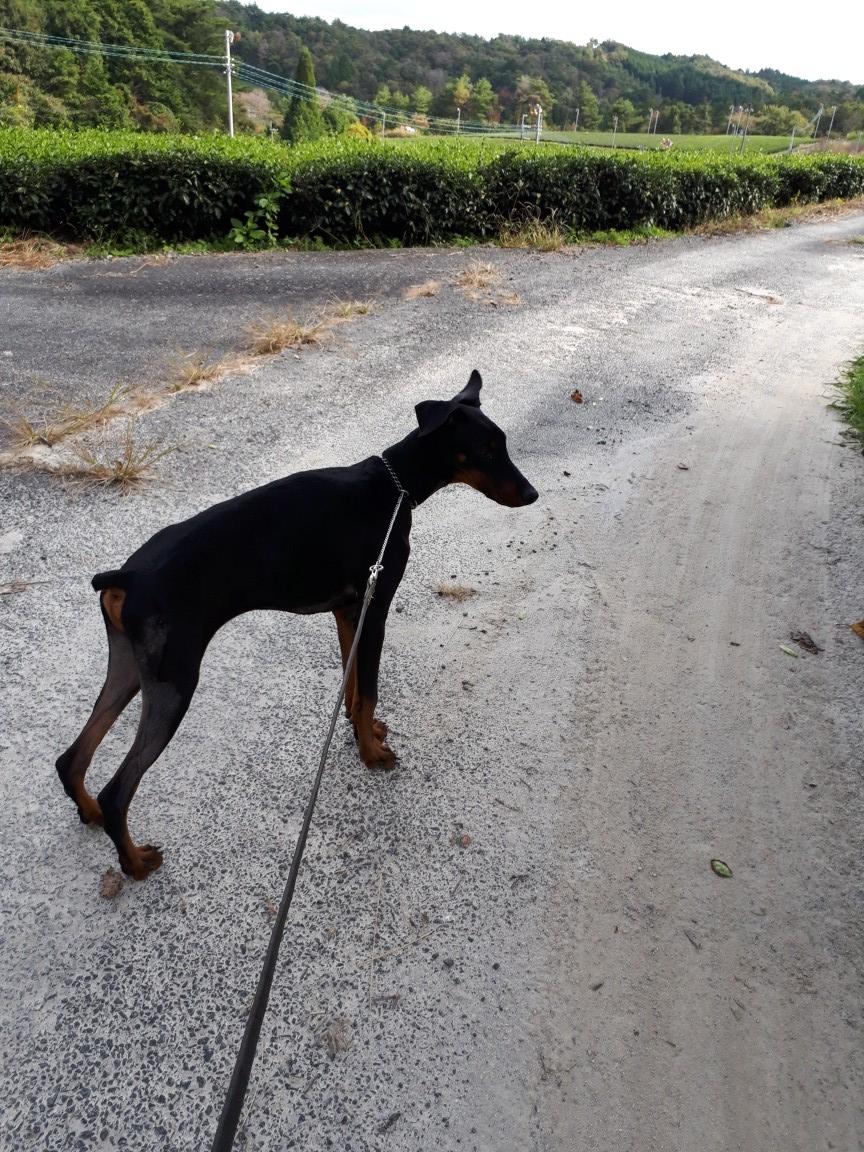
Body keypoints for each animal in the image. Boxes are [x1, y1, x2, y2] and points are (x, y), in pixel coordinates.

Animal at [56, 371, 538, 879]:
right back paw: (134, 862)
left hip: (132, 667)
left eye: (503, 444)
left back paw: (89, 811)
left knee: (71, 759)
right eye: (486, 449)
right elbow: (368, 688)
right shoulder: (376, 606)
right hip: (174, 682)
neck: (395, 487)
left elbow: (353, 686)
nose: (532, 494)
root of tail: (125, 576)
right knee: (119, 789)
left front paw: (361, 731)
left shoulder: (349, 611)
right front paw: (371, 755)